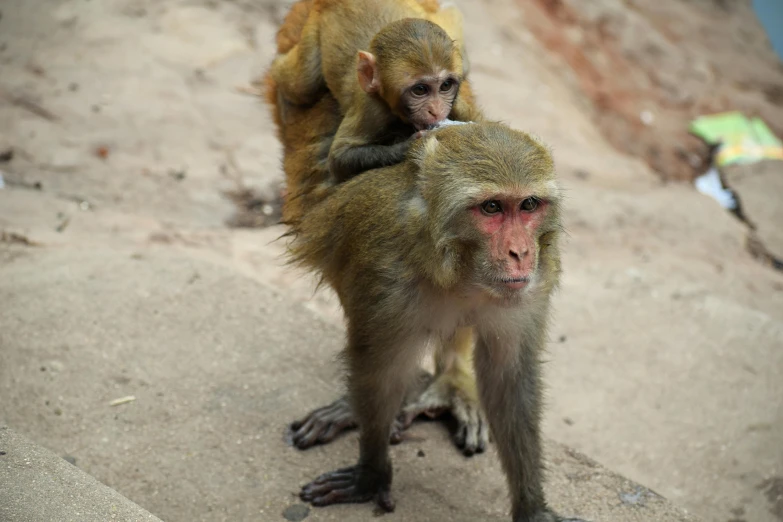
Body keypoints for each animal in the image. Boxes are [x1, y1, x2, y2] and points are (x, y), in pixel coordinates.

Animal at [264, 0, 490, 456]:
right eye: (419, 90)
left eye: (444, 86)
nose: (436, 111)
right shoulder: (371, 109)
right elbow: (342, 160)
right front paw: (414, 144)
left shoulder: (461, 100)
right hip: (310, 44)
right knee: (295, 82)